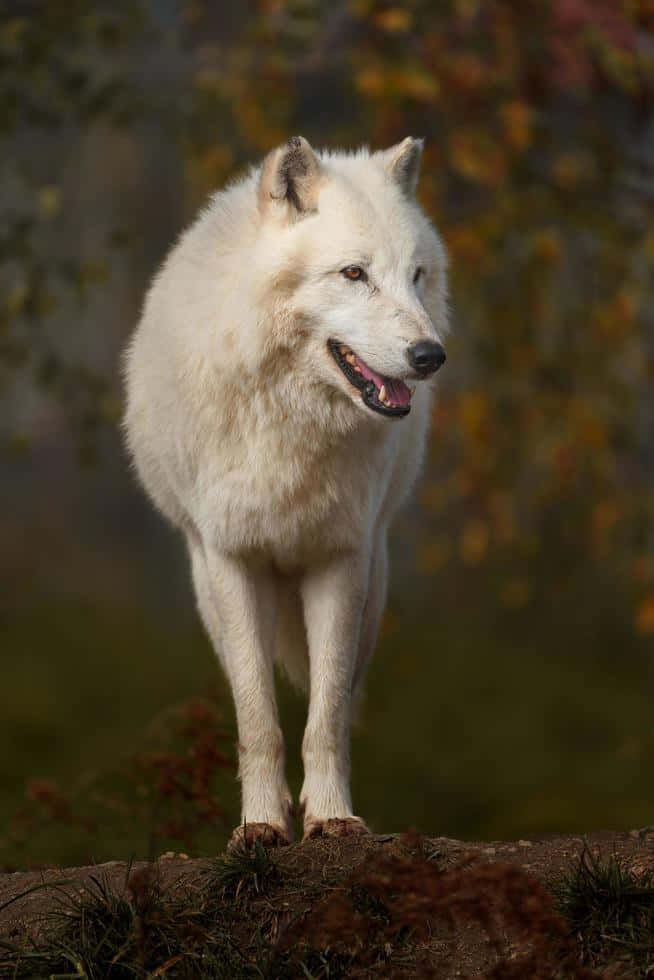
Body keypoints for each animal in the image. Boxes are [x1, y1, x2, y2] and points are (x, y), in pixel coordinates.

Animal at [123, 136, 448, 847]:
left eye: (416, 275)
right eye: (353, 274)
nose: (430, 355)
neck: (293, 425)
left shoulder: (340, 561)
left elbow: (325, 716)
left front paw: (330, 817)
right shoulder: (232, 561)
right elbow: (257, 717)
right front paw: (261, 826)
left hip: (375, 589)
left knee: (346, 700)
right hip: (209, 590)